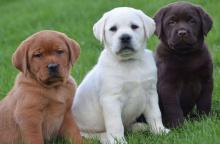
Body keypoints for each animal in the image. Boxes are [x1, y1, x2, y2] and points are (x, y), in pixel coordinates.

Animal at [72, 7, 168, 144]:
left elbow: (155, 114)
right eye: (113, 29)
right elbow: (116, 123)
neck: (129, 63)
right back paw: (106, 137)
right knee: (91, 135)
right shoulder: (111, 99)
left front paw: (160, 131)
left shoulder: (150, 93)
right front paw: (118, 140)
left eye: (134, 26)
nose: (125, 37)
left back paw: (139, 127)